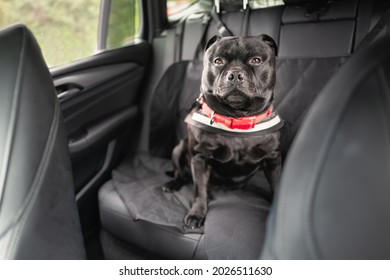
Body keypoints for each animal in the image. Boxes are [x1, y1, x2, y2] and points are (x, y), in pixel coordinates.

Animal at [163, 34, 282, 229]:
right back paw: (173, 184)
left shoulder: (272, 159)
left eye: (256, 60)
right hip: (178, 149)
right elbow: (199, 190)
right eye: (218, 61)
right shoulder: (200, 157)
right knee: (181, 173)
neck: (237, 119)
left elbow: (276, 184)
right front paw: (197, 213)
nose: (235, 74)